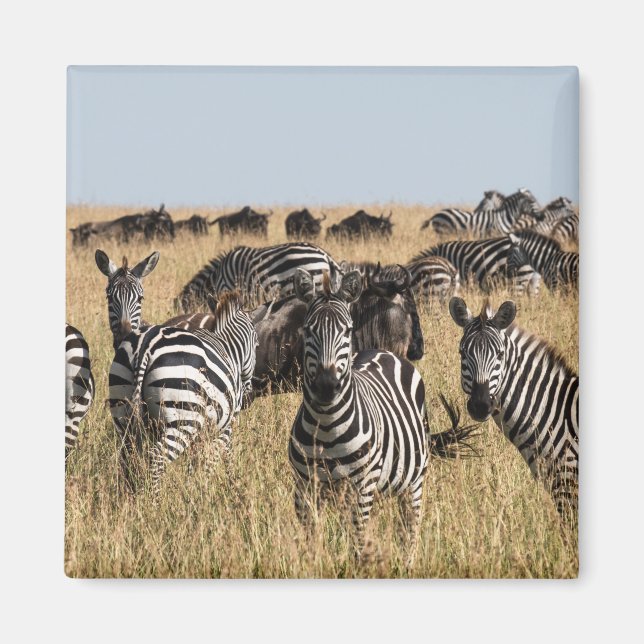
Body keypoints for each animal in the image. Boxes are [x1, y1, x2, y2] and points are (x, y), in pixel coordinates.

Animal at [108, 291, 258, 496]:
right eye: (257, 344)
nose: (249, 396)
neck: (227, 347)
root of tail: (146, 344)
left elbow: (196, 463)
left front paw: (193, 489)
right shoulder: (225, 426)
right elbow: (216, 459)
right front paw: (212, 489)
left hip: (123, 413)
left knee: (128, 460)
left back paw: (131, 499)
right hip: (183, 419)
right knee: (157, 459)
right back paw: (155, 501)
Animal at [288, 269, 477, 556]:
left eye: (348, 330)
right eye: (309, 330)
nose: (326, 386)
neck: (326, 425)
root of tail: (383, 352)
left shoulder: (362, 486)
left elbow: (357, 543)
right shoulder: (304, 489)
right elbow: (312, 544)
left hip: (413, 483)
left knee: (409, 531)